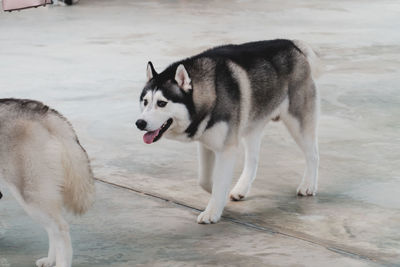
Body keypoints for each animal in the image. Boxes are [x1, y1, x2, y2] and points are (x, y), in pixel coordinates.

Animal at [0, 99, 94, 266]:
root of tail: (43, 112)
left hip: (29, 194)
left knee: (60, 229)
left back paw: (62, 262)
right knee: (52, 229)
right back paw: (50, 260)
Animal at [136, 39, 320, 224]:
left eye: (161, 103)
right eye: (145, 101)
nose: (139, 123)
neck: (211, 92)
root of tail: (291, 43)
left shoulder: (226, 149)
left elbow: (219, 180)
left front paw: (212, 212)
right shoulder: (206, 143)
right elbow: (204, 180)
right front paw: (219, 196)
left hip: (297, 122)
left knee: (312, 154)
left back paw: (308, 185)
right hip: (252, 124)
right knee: (253, 160)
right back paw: (241, 189)